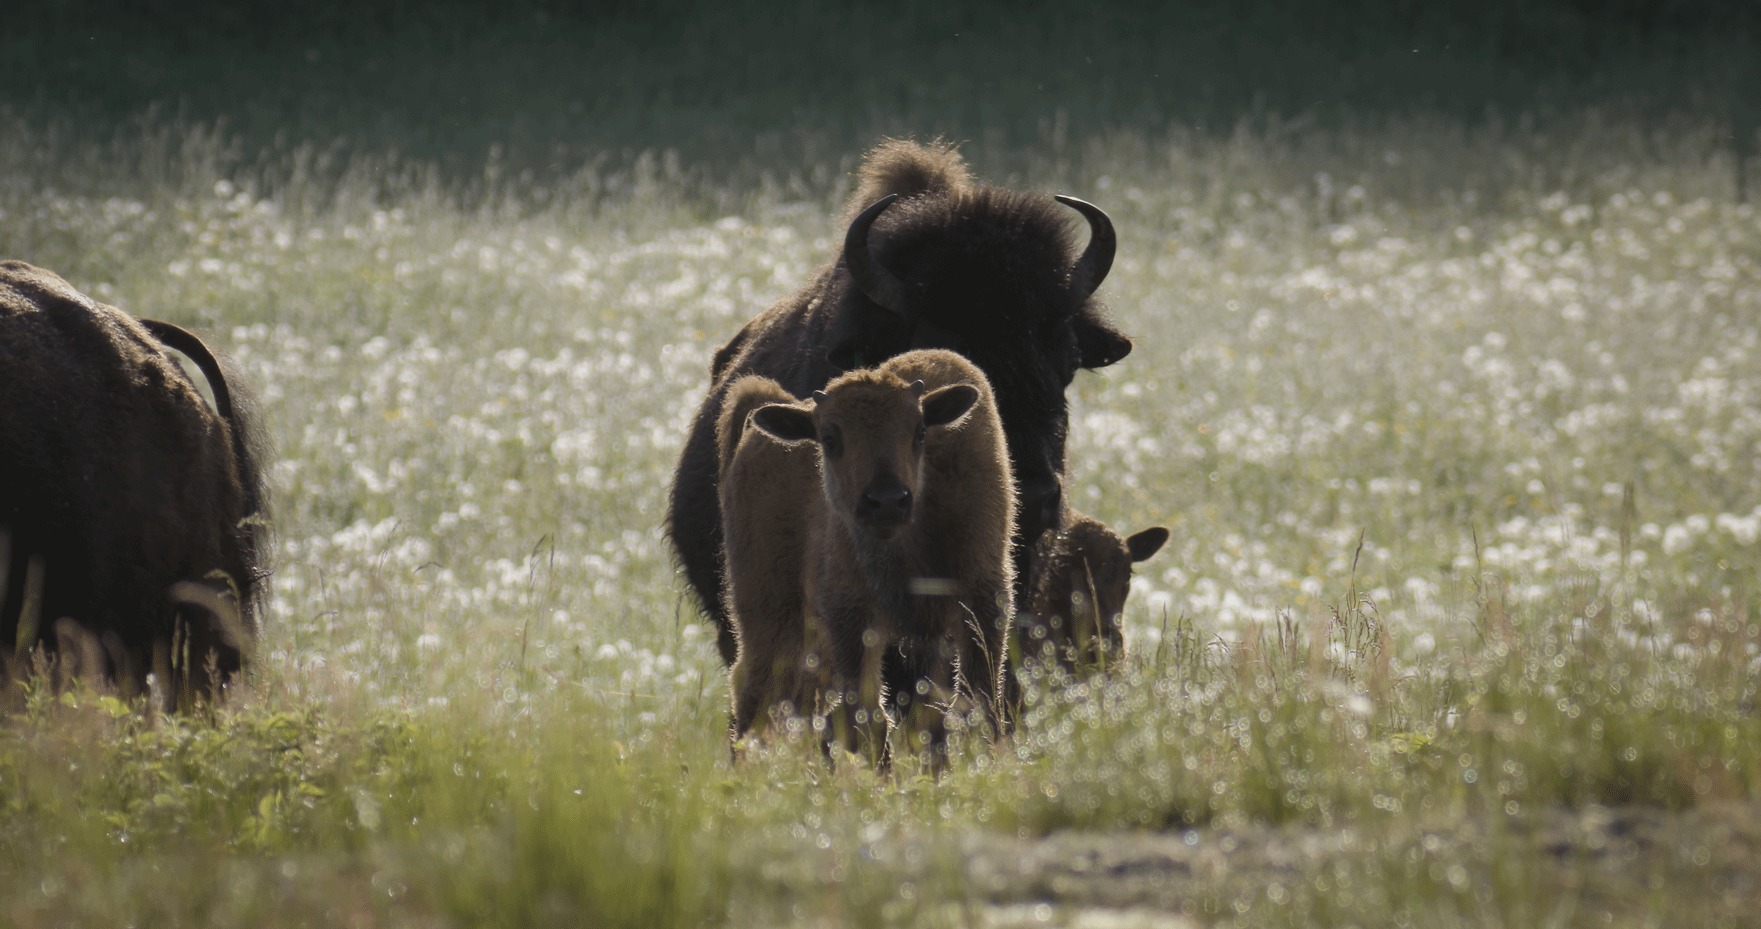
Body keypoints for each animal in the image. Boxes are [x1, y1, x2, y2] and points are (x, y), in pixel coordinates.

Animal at [718, 349, 1013, 762]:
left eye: (919, 431)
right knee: (758, 695)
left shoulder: (982, 601)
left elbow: (969, 706)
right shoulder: (852, 620)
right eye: (829, 438)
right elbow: (871, 718)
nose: (886, 501)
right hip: (768, 615)